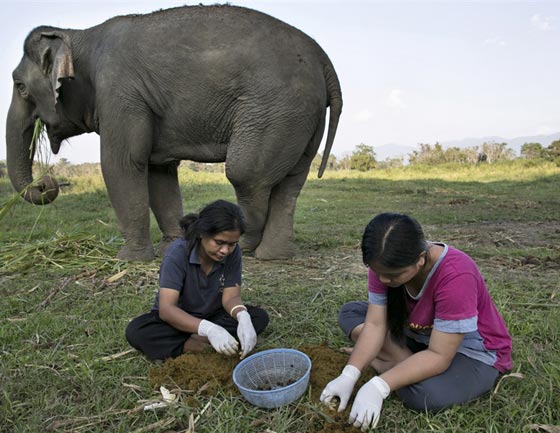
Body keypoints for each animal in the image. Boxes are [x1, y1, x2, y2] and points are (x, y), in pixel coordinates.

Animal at [6, 4, 342, 260]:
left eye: (20, 86)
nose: (46, 182)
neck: (79, 34)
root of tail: (323, 60)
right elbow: (158, 171)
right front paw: (170, 249)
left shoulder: (119, 93)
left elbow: (122, 164)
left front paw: (128, 260)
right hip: (302, 117)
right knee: (291, 183)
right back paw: (273, 256)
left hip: (276, 109)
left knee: (245, 174)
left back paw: (245, 246)